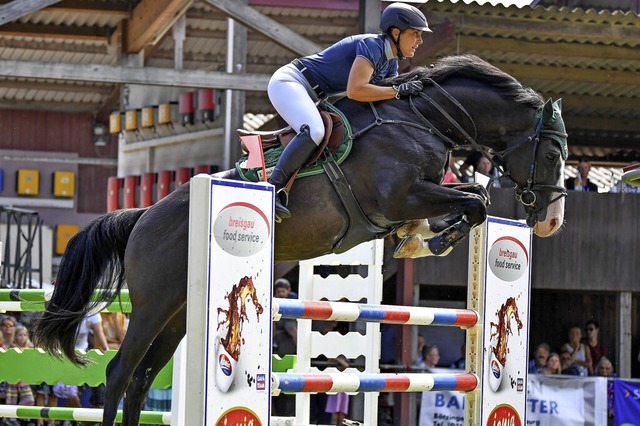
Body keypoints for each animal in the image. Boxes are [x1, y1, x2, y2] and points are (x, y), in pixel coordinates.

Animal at [32, 54, 568, 426]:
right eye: (552, 155)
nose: (550, 223)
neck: (424, 121)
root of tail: (144, 215)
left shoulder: (416, 198)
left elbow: (473, 197)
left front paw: (421, 240)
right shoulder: (401, 197)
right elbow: (476, 201)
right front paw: (435, 239)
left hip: (180, 313)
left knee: (143, 377)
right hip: (153, 305)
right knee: (121, 372)